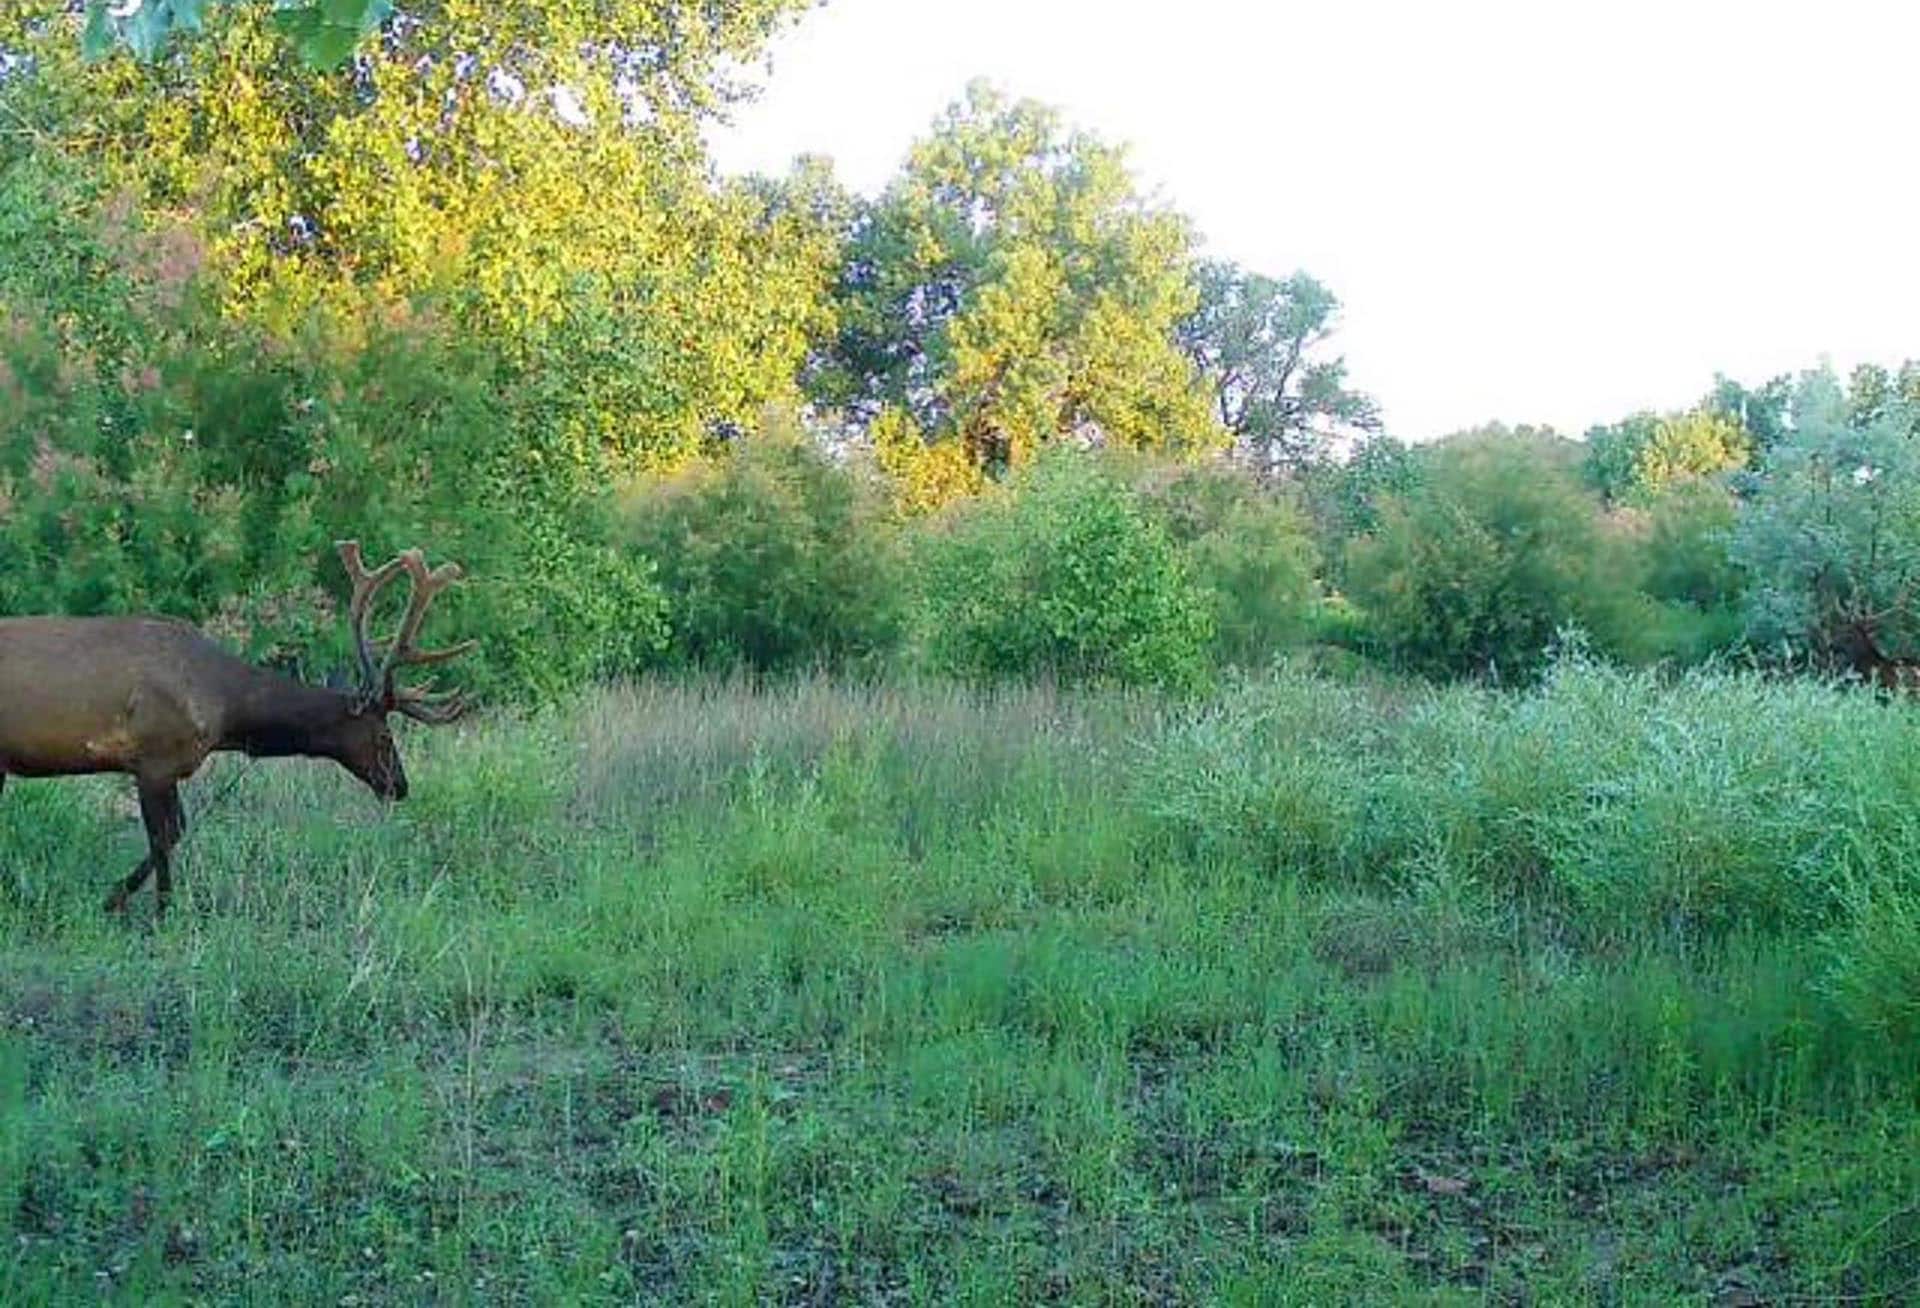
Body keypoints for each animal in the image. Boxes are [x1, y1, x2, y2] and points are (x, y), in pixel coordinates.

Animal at [0, 542, 476, 917]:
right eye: (383, 735)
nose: (400, 785)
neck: (224, 710)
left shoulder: (165, 767)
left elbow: (175, 830)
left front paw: (122, 898)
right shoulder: (153, 759)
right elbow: (164, 835)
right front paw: (151, 909)